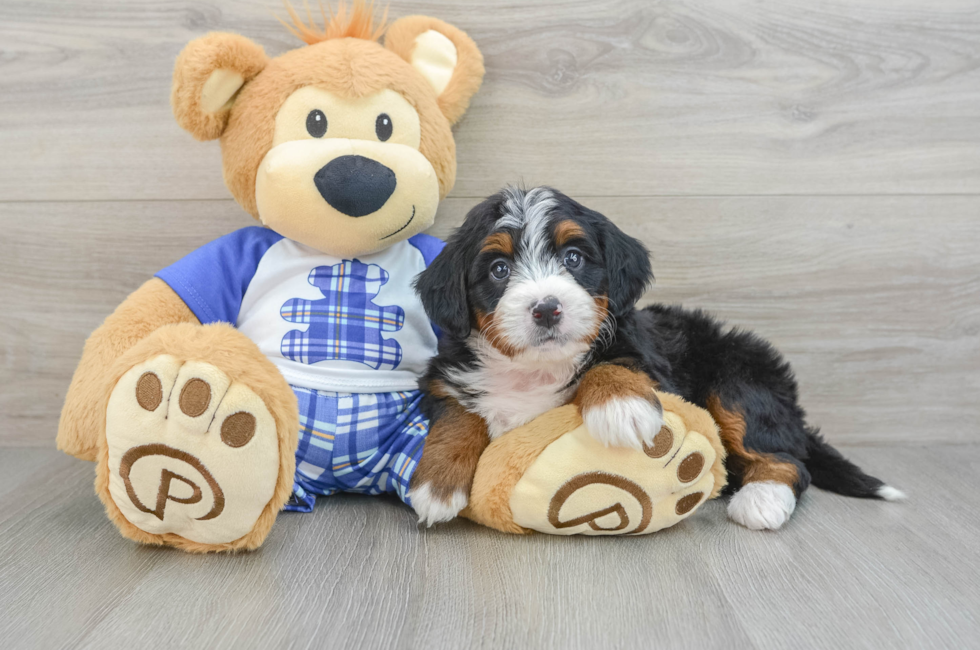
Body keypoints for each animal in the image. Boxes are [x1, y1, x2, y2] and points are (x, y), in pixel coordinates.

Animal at [408, 186, 904, 528]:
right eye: (499, 269)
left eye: (573, 258)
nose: (547, 308)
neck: (535, 369)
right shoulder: (442, 376)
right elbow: (457, 414)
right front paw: (437, 484)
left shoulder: (650, 361)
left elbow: (613, 363)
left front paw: (621, 408)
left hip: (738, 377)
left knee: (787, 458)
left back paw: (761, 500)